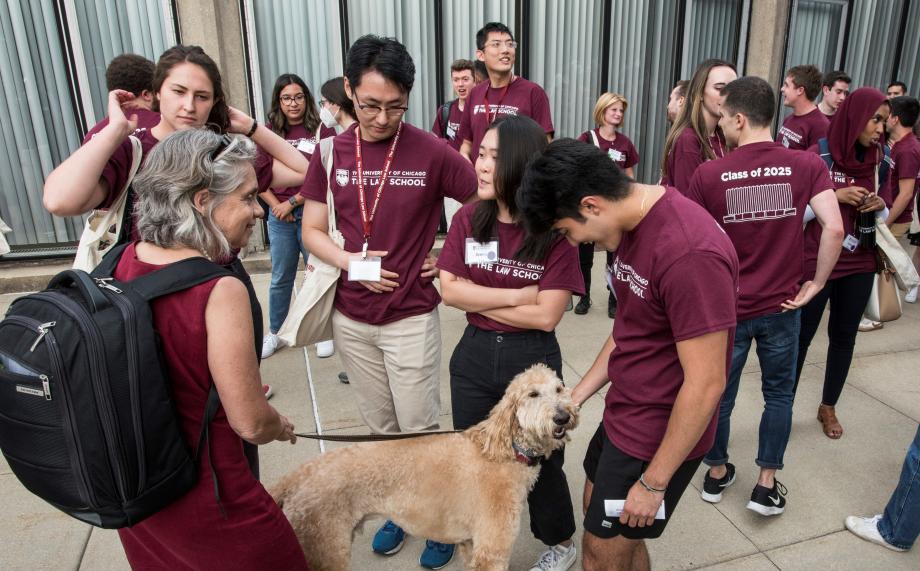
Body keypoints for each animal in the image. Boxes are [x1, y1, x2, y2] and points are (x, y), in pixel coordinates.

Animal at [270, 364, 580, 568]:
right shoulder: (492, 548)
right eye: (532, 395)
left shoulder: (471, 545)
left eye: (559, 389)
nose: (563, 417)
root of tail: (297, 475)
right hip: (324, 550)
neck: (507, 450)